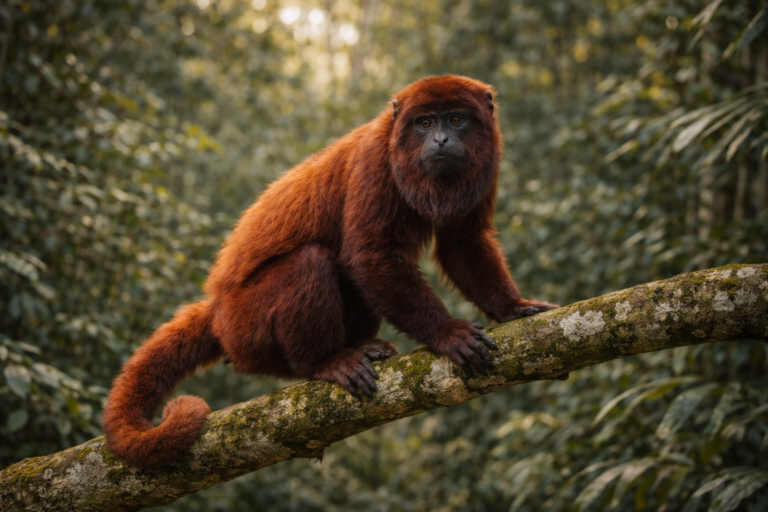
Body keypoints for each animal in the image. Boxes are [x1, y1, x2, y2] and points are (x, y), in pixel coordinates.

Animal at [102, 75, 558, 469]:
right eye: (425, 122)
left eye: (457, 119)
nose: (441, 139)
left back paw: (361, 346)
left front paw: (512, 307)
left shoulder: (487, 162)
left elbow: (462, 244)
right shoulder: (376, 161)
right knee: (312, 261)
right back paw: (324, 361)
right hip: (246, 326)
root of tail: (216, 310)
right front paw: (447, 333)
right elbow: (370, 254)